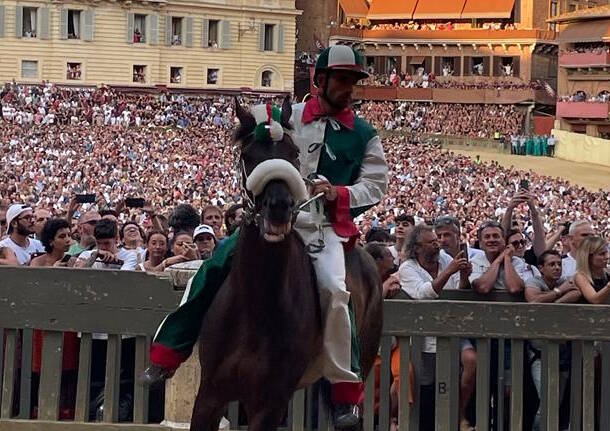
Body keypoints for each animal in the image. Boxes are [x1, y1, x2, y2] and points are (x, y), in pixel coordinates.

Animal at [190, 98, 380, 431]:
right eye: (248, 155)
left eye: (293, 153)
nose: (279, 207)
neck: (256, 306)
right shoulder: (210, 394)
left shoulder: (269, 403)